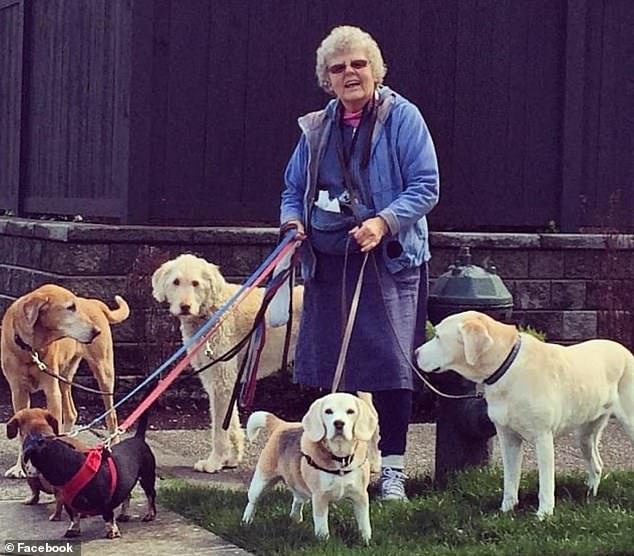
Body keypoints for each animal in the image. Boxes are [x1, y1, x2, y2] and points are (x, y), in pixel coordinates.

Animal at [0, 284, 130, 480]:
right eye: (70, 307)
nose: (96, 331)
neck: (31, 348)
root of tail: (93, 303)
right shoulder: (18, 392)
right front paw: (19, 467)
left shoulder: (51, 391)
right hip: (65, 377)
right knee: (71, 413)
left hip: (104, 373)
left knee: (111, 414)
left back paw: (112, 442)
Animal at [152, 254, 302, 472]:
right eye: (176, 282)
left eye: (195, 283)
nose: (185, 307)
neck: (212, 311)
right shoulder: (218, 380)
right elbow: (230, 423)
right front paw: (232, 458)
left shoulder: (221, 381)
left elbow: (218, 430)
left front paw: (214, 462)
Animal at [414, 310, 632, 520]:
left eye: (438, 337)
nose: (415, 353)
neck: (506, 366)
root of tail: (624, 350)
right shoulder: (508, 438)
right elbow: (510, 480)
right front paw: (506, 510)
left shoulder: (543, 438)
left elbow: (546, 484)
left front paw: (544, 515)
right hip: (585, 434)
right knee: (596, 464)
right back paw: (589, 496)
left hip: (629, 423)